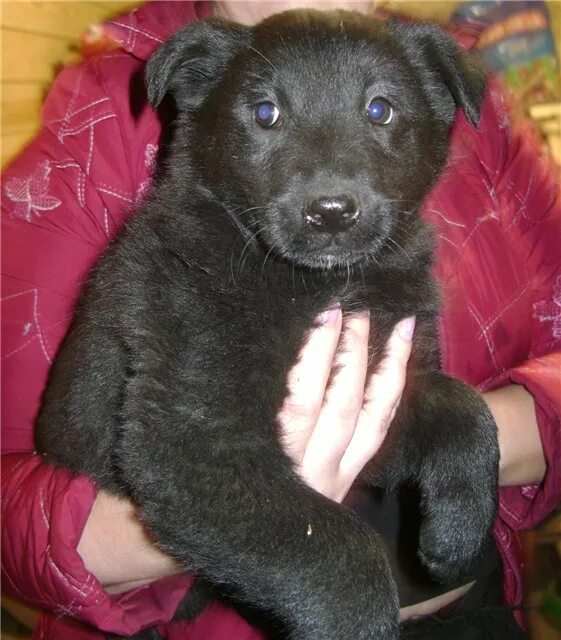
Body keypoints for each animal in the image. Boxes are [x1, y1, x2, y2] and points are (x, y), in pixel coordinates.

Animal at [37, 11, 496, 640]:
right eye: (264, 112)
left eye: (380, 109)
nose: (331, 212)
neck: (319, 285)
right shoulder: (194, 440)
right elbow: (335, 547)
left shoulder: (376, 394)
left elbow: (465, 409)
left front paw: (457, 535)